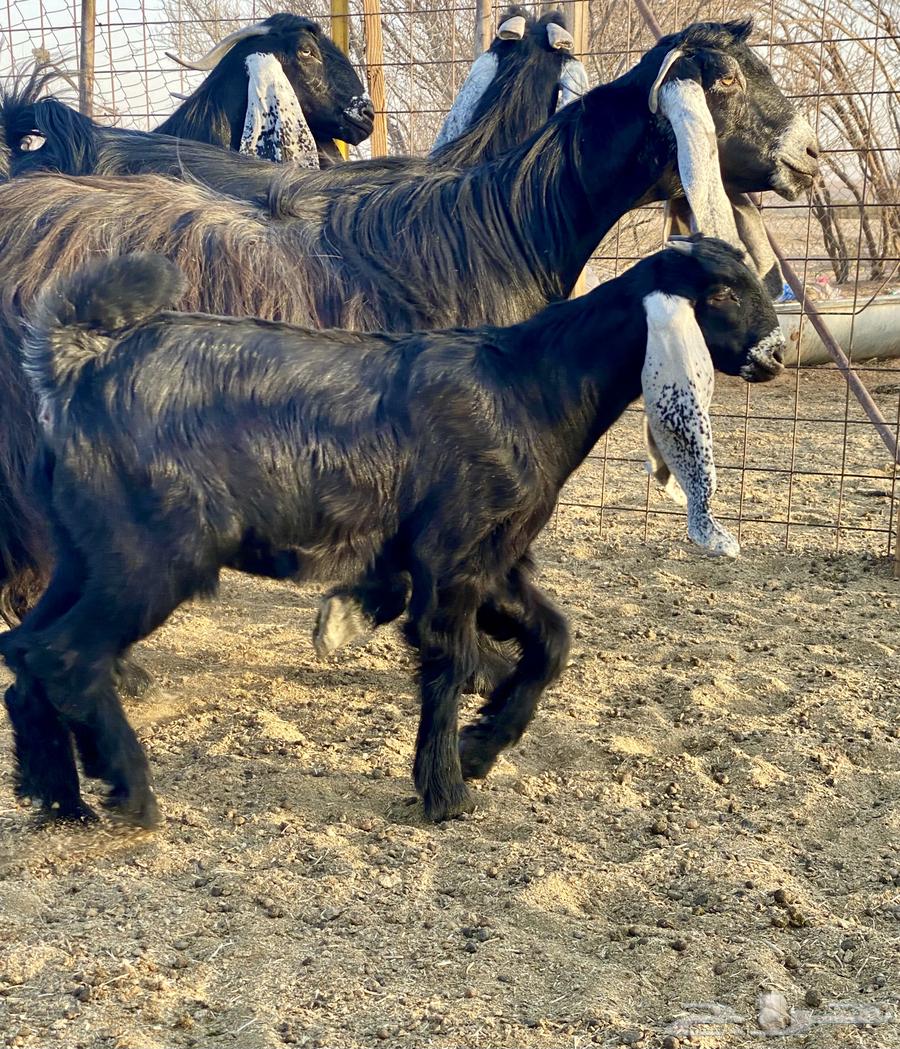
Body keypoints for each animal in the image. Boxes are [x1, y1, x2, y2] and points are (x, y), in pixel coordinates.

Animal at [1, 237, 784, 827]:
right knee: (66, 653)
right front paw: (446, 790)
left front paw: (481, 745)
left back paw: (58, 797)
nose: (775, 355)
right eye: (720, 293)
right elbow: (447, 662)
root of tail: (78, 366)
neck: (529, 385)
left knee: (26, 650)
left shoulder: (494, 560)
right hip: (154, 554)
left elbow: (552, 642)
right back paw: (129, 789)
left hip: (87, 553)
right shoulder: (452, 559)